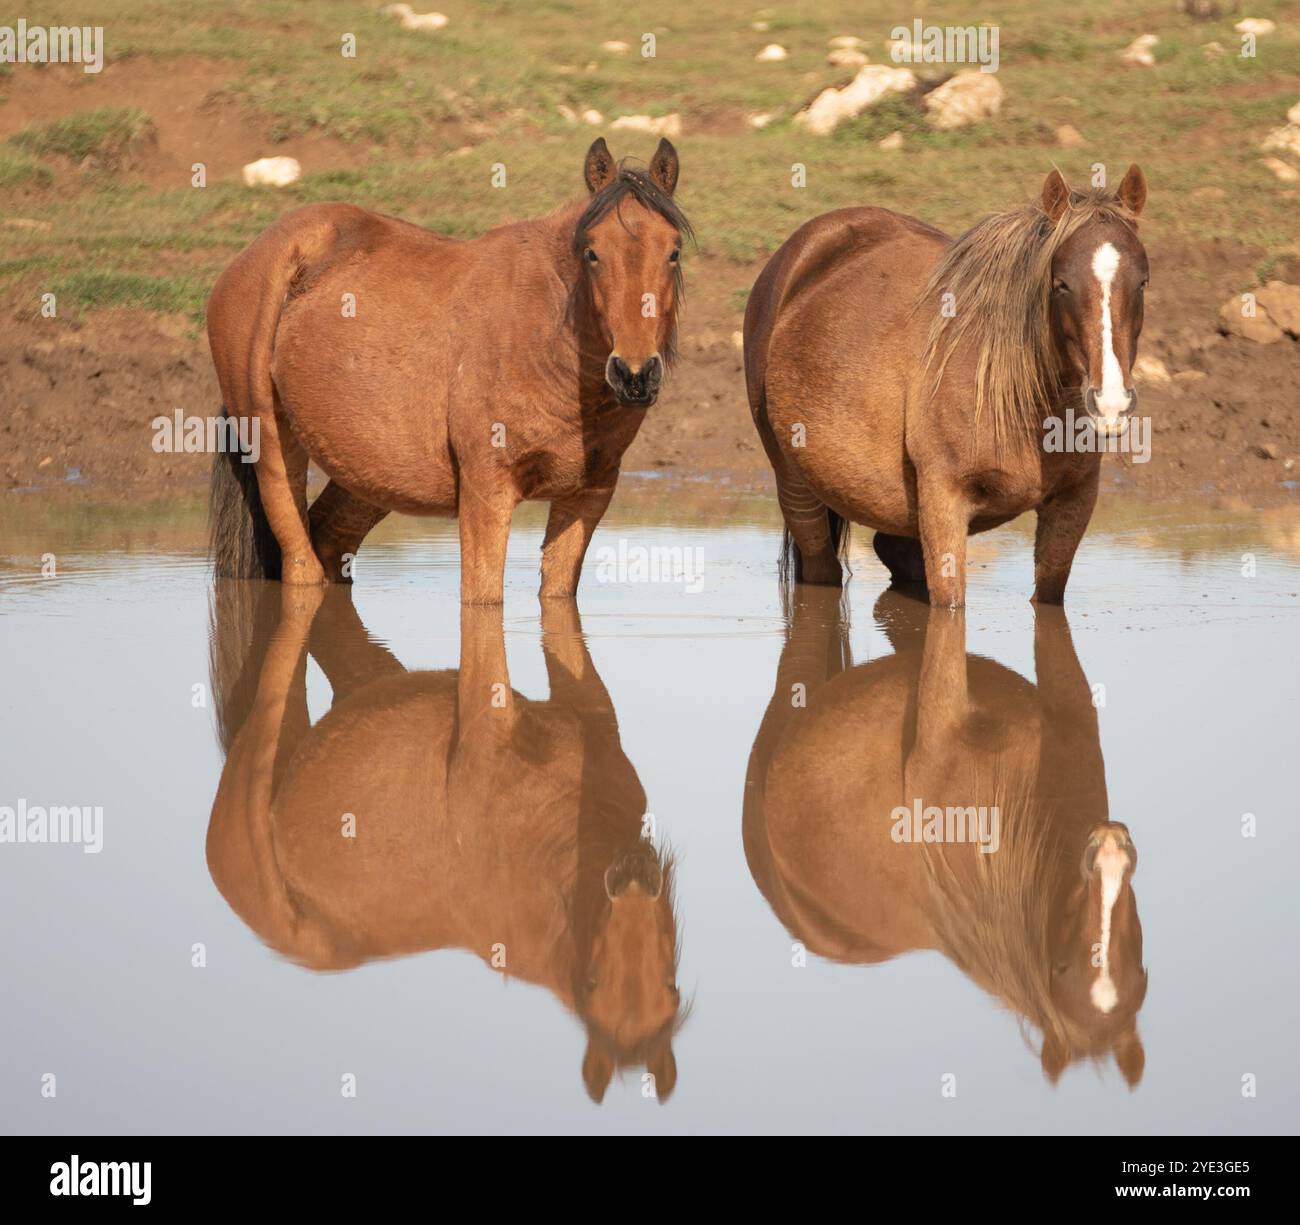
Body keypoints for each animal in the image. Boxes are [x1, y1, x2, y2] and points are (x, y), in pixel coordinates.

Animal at [205, 137, 691, 603]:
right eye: (591, 253)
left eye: (674, 252)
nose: (634, 374)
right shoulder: (486, 493)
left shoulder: (587, 497)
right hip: (272, 451)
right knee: (301, 566)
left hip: (370, 473)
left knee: (328, 540)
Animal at [748, 165, 1154, 605]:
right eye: (1061, 283)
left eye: (1142, 282)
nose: (1111, 404)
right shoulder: (945, 502)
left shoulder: (1072, 503)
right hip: (797, 491)